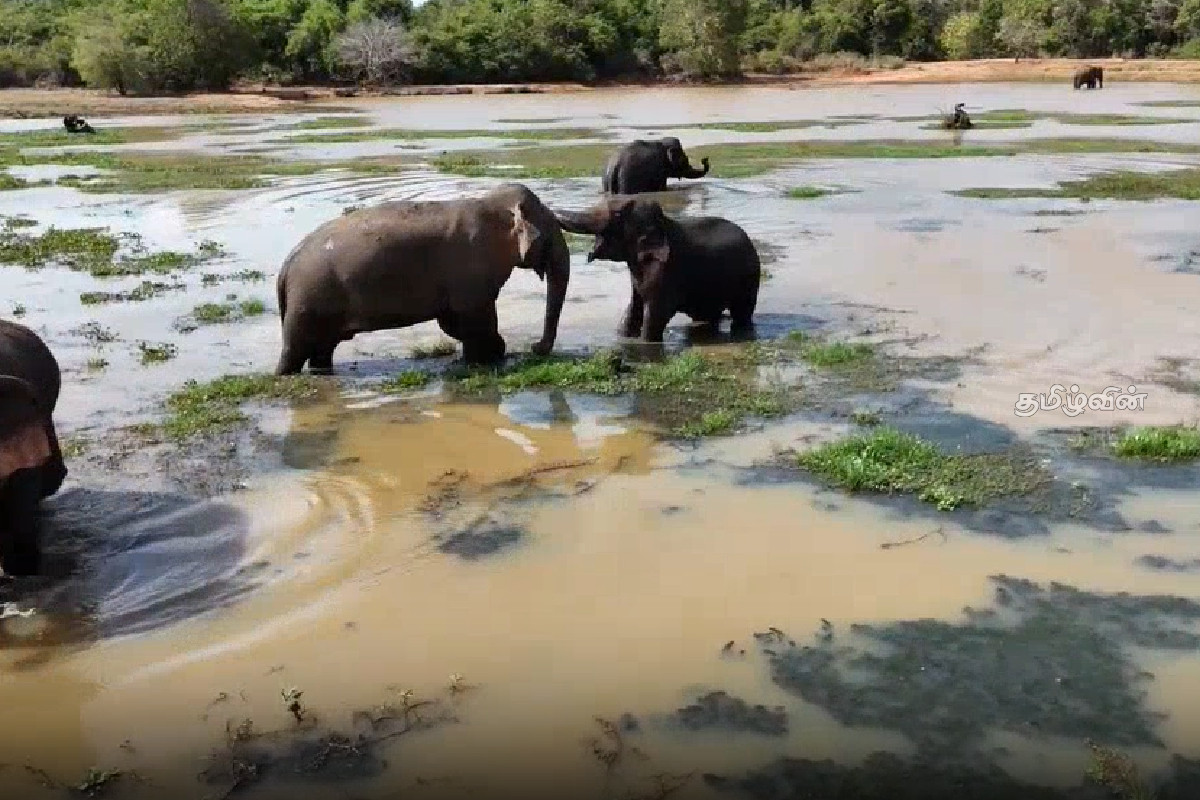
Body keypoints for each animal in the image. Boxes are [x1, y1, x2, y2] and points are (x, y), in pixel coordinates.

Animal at [274, 183, 571, 375]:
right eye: (550, 233)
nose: (534, 347)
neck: (489, 203)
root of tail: (285, 267)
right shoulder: (469, 268)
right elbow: (475, 316)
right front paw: (493, 356)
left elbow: (453, 320)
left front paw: (484, 357)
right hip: (308, 302)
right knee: (295, 350)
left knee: (322, 350)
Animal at [554, 196, 760, 343]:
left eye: (618, 214)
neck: (663, 222)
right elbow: (634, 306)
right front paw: (622, 337)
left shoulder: (667, 271)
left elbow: (657, 313)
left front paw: (645, 343)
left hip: (750, 278)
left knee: (742, 312)